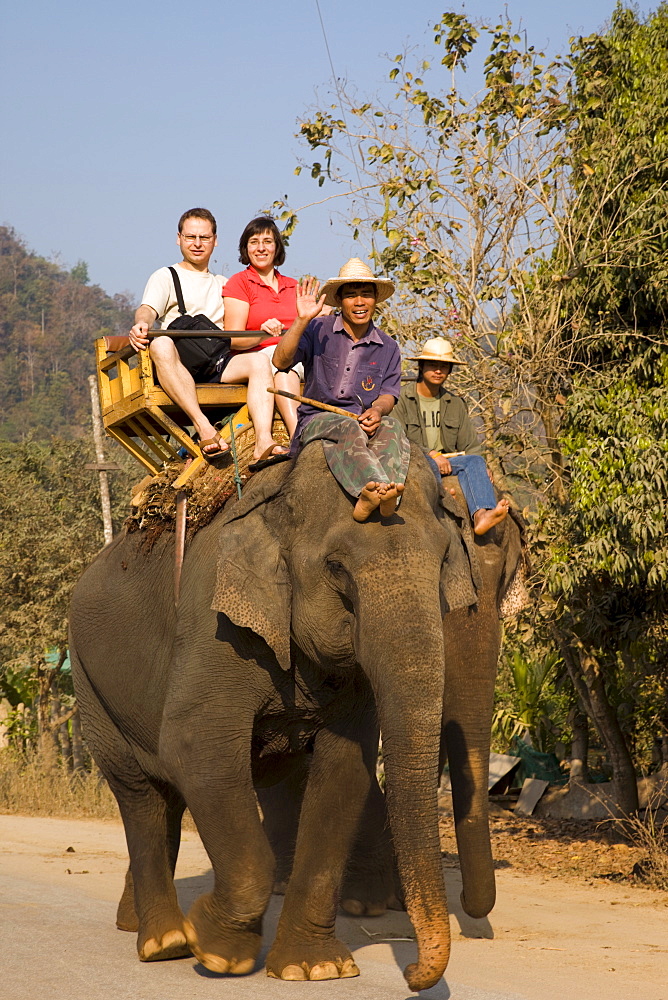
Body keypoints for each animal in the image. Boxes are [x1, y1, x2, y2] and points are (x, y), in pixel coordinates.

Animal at [69, 440, 528, 992]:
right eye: (335, 567)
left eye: (444, 562)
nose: (413, 972)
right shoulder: (213, 619)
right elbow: (194, 746)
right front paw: (216, 947)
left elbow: (344, 769)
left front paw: (315, 968)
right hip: (88, 680)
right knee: (138, 792)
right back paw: (165, 941)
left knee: (172, 795)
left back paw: (139, 922)